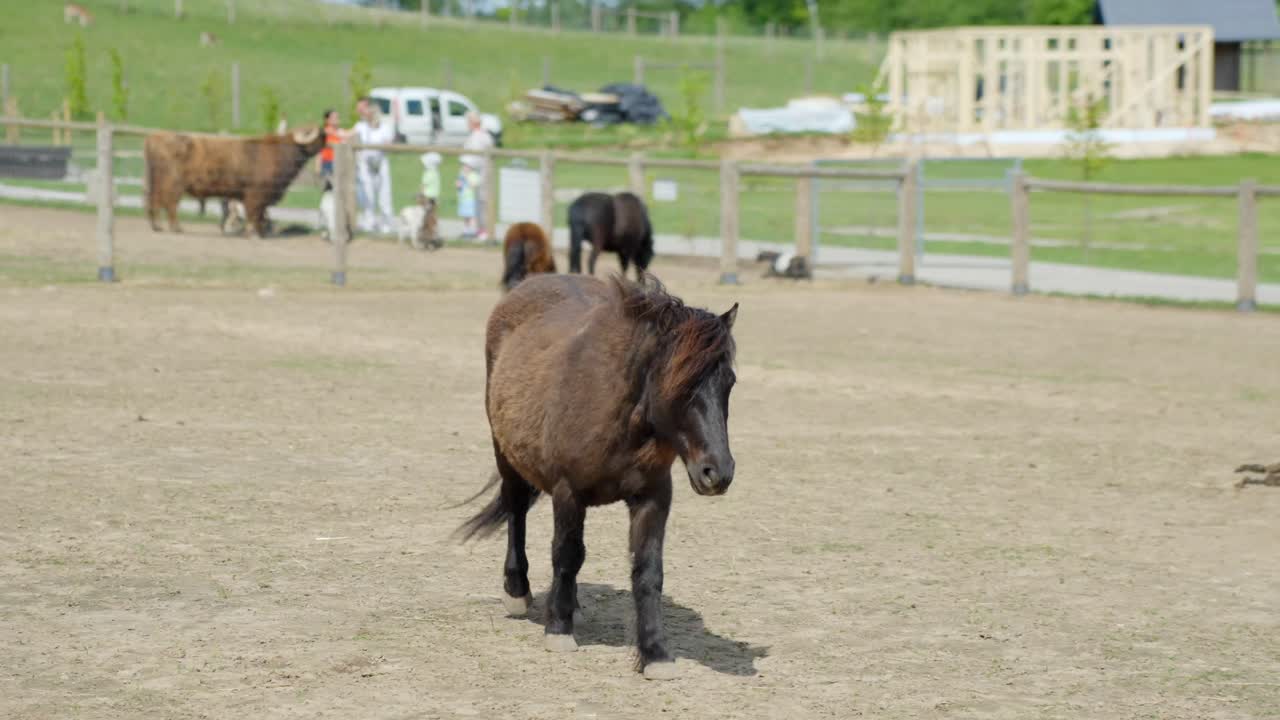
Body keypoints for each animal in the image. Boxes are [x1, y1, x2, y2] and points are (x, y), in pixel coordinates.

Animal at [458, 273, 739, 679]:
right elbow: (566, 554)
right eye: (681, 383)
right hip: (506, 455)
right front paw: (558, 630)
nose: (717, 472)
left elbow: (648, 571)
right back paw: (518, 590)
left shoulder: (654, 496)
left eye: (729, 383)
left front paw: (655, 652)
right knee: (516, 512)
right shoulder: (567, 491)